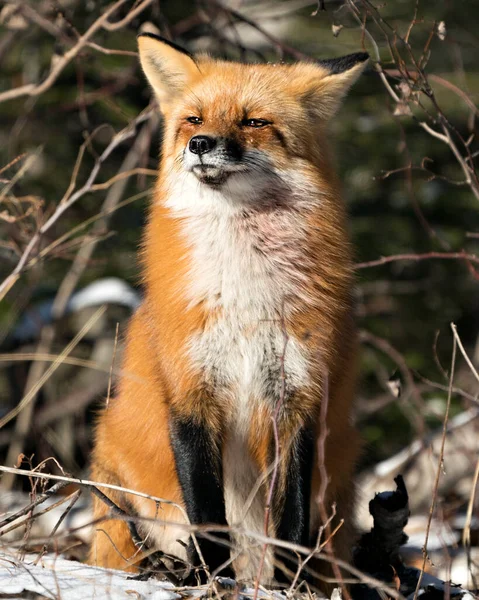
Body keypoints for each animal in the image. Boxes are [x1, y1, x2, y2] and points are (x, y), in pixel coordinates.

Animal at [89, 31, 368, 584]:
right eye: (194, 120)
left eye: (254, 122)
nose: (200, 144)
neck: (242, 296)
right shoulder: (190, 391)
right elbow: (206, 507)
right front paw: (211, 579)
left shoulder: (299, 395)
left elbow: (292, 513)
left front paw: (288, 585)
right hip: (114, 469)